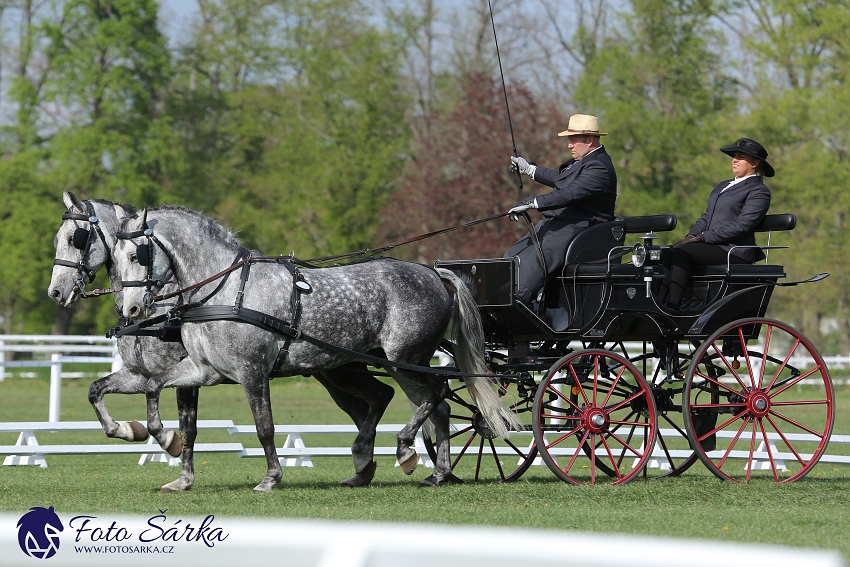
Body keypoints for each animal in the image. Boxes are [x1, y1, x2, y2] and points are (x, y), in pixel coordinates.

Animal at [48, 193, 398, 490]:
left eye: (75, 238)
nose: (56, 292)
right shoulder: (142, 374)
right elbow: (97, 390)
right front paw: (129, 431)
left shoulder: (189, 377)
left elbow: (188, 428)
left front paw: (175, 456)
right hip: (340, 371)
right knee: (373, 401)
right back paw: (367, 466)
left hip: (348, 370)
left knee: (382, 400)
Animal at [109, 206, 512, 490]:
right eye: (113, 258)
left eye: (137, 255)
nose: (131, 310)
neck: (223, 290)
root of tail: (431, 273)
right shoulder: (204, 371)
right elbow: (155, 386)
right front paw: (160, 438)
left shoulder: (251, 372)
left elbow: (265, 427)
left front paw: (271, 478)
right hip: (369, 366)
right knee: (434, 406)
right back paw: (433, 472)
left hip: (406, 359)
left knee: (435, 395)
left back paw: (405, 450)